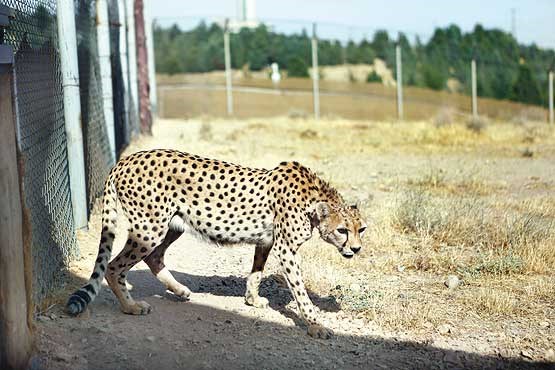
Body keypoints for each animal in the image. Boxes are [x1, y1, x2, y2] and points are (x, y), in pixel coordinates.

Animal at [67, 150, 368, 338]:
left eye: (361, 229)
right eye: (342, 230)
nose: (356, 249)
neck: (314, 200)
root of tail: (127, 159)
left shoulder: (267, 242)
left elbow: (256, 273)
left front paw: (252, 299)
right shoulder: (286, 249)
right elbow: (300, 292)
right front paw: (315, 325)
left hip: (172, 225)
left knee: (154, 257)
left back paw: (180, 290)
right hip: (150, 228)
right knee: (114, 266)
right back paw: (131, 307)